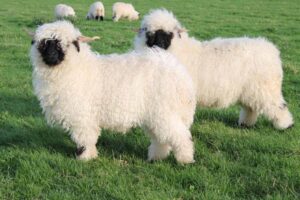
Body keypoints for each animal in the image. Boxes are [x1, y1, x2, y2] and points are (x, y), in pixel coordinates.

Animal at [29, 20, 196, 164]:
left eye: (67, 44)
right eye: (43, 44)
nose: (51, 56)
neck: (77, 68)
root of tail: (180, 75)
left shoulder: (82, 116)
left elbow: (84, 138)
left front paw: (84, 157)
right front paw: (90, 156)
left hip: (165, 111)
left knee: (179, 135)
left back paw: (185, 159)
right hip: (155, 115)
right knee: (161, 138)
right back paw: (156, 157)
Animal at [135, 8, 294, 130]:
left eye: (169, 34)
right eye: (151, 34)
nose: (160, 45)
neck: (178, 50)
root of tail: (272, 50)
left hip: (266, 89)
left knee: (278, 106)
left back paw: (285, 125)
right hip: (251, 90)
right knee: (251, 107)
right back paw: (245, 124)